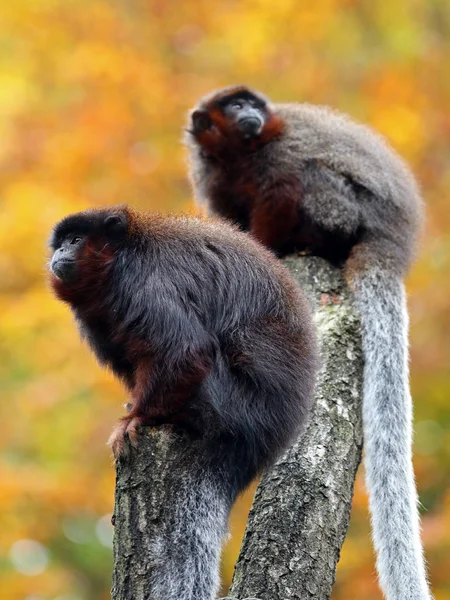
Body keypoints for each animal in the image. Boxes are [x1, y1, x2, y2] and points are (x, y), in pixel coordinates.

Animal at [185, 85, 430, 600]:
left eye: (250, 104)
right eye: (234, 106)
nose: (251, 113)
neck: (242, 154)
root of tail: (391, 240)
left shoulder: (281, 150)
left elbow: (282, 191)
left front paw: (268, 248)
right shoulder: (210, 174)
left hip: (345, 207)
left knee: (313, 178)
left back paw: (310, 242)